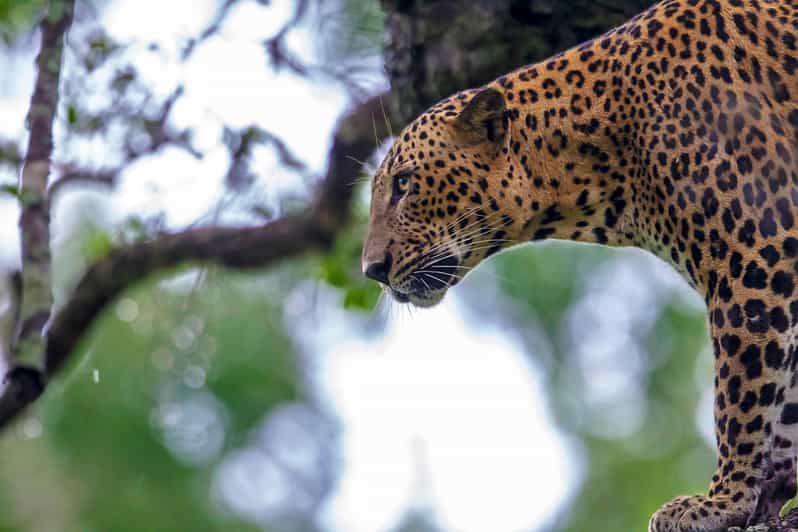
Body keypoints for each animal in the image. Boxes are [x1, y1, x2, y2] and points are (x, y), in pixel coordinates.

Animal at [364, 0, 798, 528]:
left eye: (404, 184)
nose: (371, 269)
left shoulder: (755, 252)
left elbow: (741, 395)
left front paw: (723, 500)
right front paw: (772, 486)